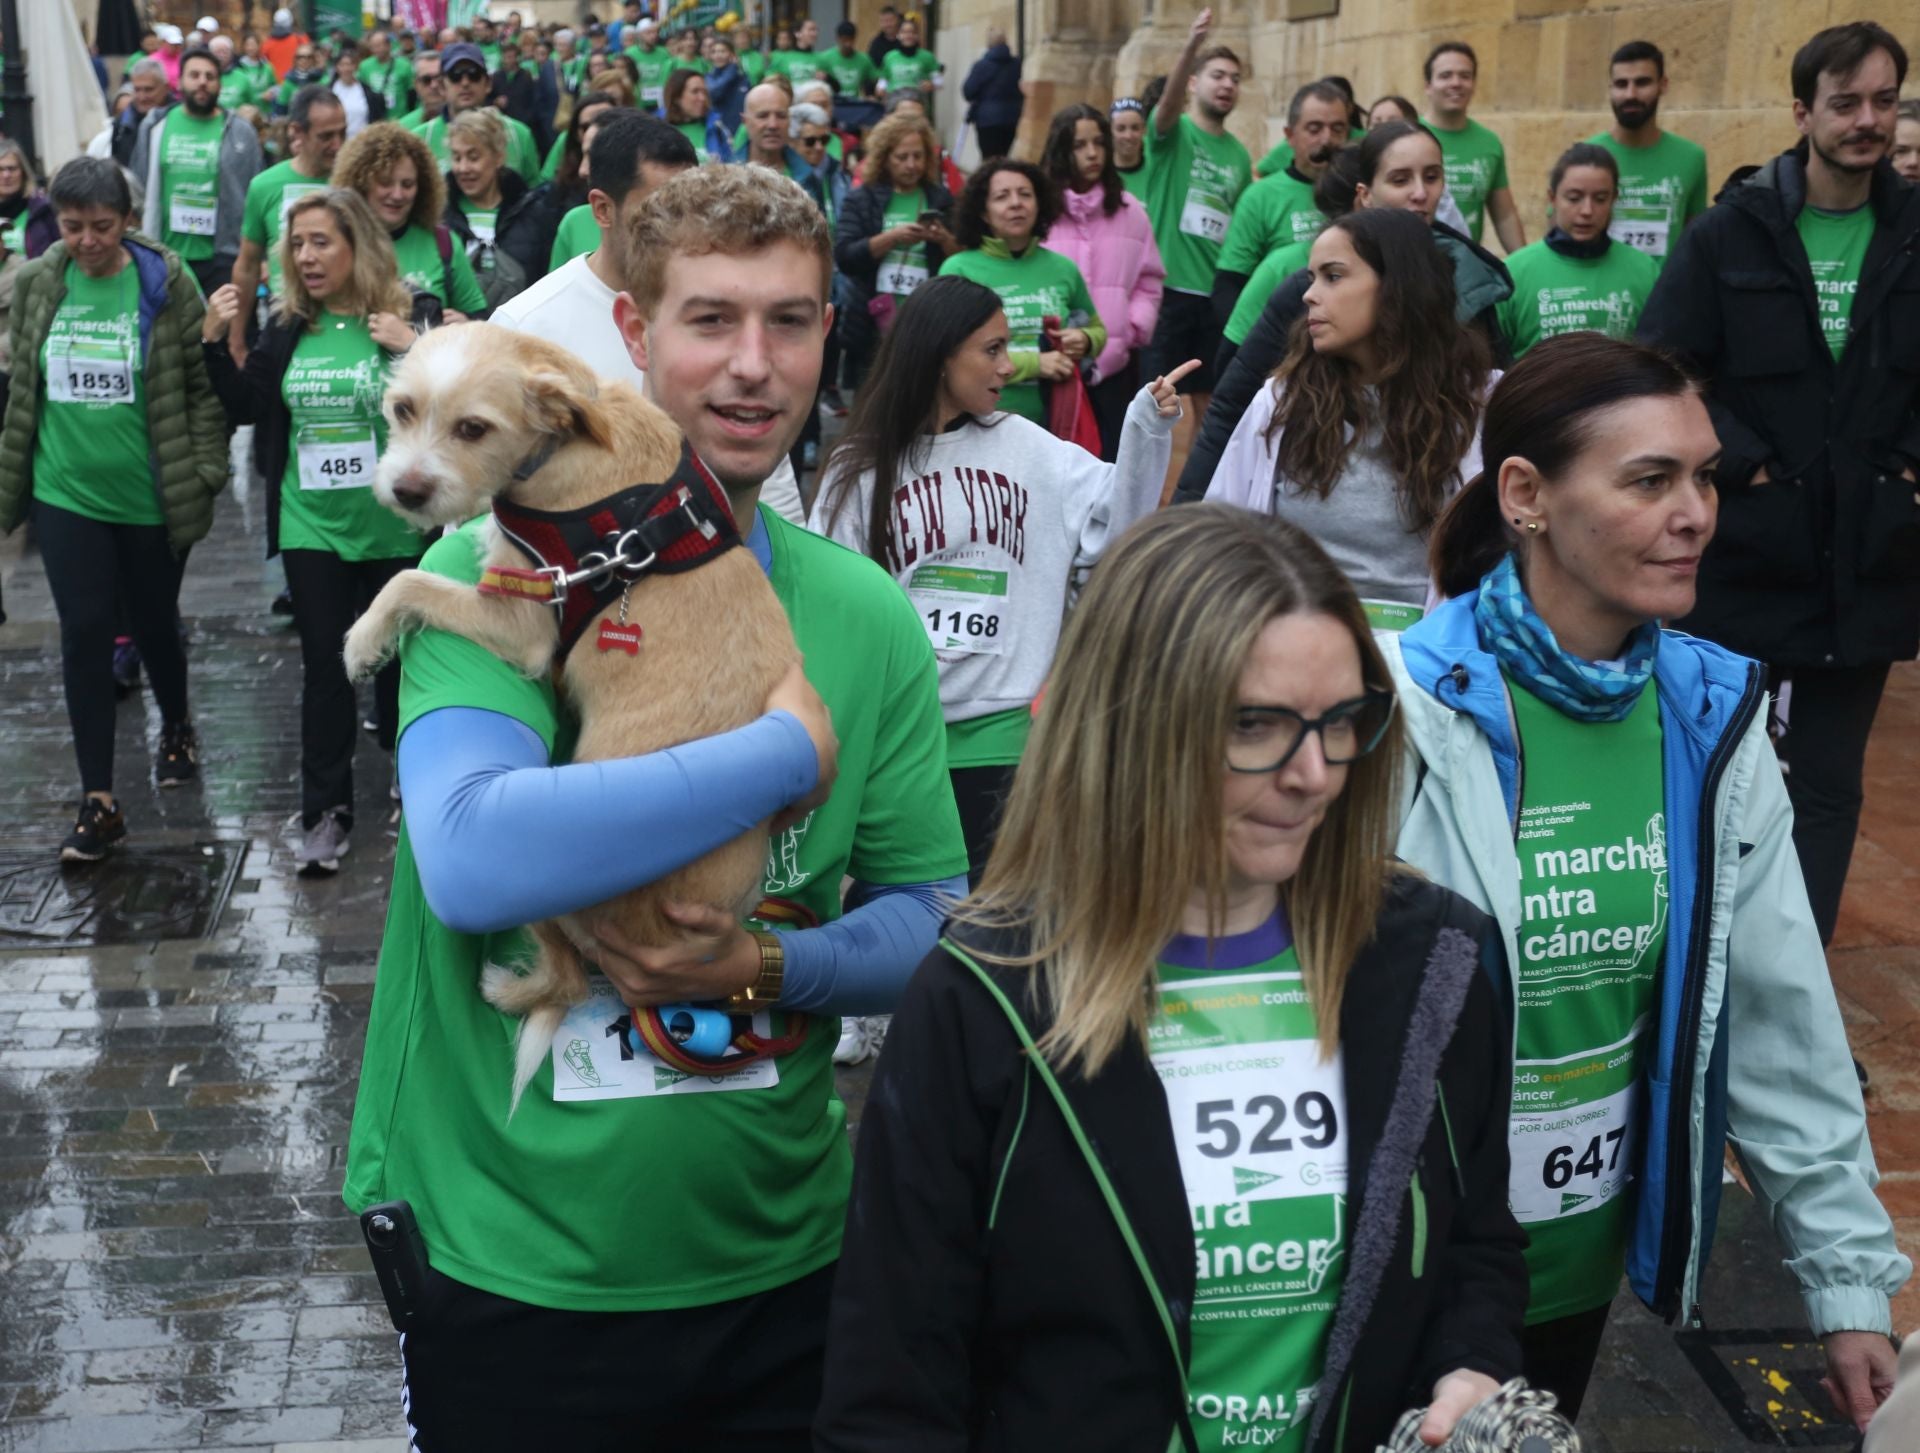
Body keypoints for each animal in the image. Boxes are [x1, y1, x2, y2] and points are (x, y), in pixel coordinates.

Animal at [341, 326, 798, 1113]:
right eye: (401, 410)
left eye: (474, 429)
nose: (407, 491)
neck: (570, 437)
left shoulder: (523, 620)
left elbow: (406, 579)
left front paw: (364, 641)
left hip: (551, 891)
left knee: (566, 980)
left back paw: (510, 988)